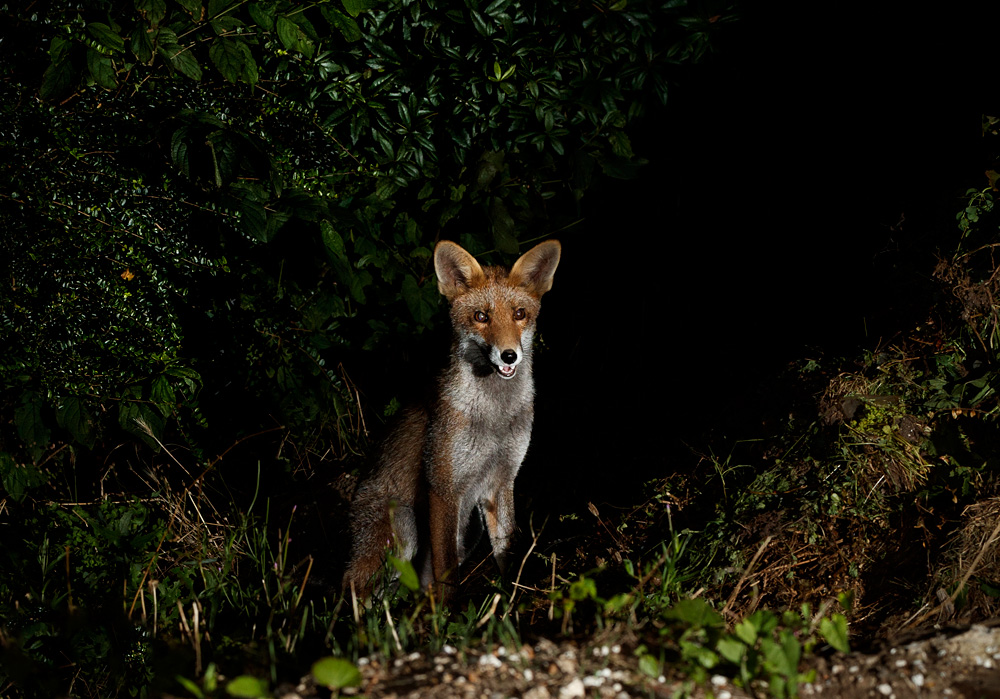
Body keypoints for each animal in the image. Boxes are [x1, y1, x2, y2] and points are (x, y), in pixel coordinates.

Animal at [343, 238, 561, 599]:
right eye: (480, 317)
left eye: (520, 314)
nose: (509, 355)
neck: (494, 421)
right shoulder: (443, 487)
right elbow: (447, 575)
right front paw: (452, 614)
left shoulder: (501, 481)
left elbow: (508, 551)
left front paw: (512, 600)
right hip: (403, 526)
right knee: (357, 590)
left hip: (468, 531)